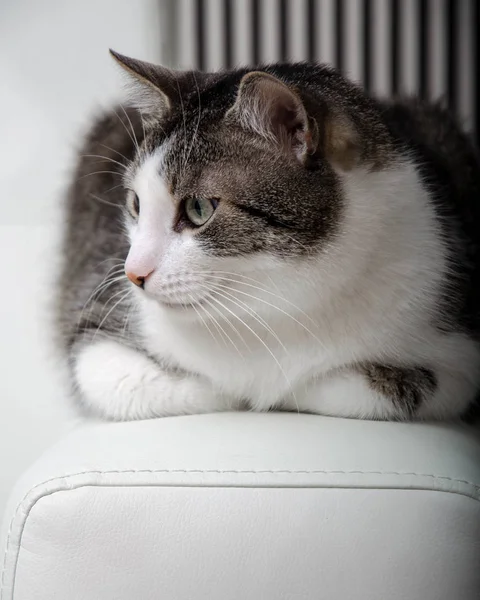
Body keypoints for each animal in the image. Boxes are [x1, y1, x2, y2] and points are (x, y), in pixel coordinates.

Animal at [55, 50, 480, 422]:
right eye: (136, 204)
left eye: (198, 209)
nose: (133, 274)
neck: (271, 309)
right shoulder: (97, 328)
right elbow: (142, 383)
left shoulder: (458, 349)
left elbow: (391, 388)